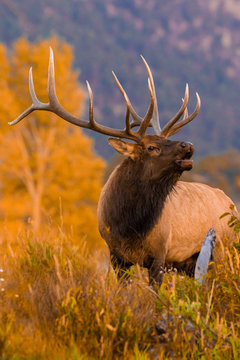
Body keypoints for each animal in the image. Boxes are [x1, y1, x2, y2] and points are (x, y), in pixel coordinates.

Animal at [9, 48, 238, 284]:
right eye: (152, 147)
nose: (188, 145)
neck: (129, 226)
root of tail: (231, 203)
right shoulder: (115, 255)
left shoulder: (161, 253)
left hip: (223, 250)